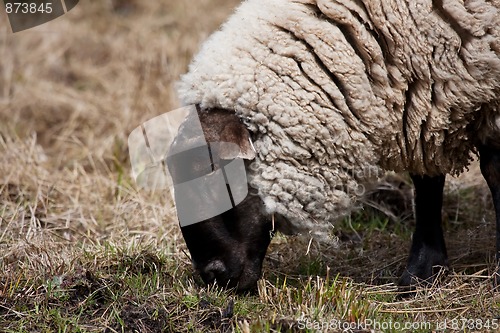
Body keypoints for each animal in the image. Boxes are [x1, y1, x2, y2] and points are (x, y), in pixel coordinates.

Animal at [169, 0, 500, 290]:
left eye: (213, 175)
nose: (212, 275)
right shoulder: (425, 103)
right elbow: (426, 184)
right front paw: (421, 273)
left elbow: (492, 172)